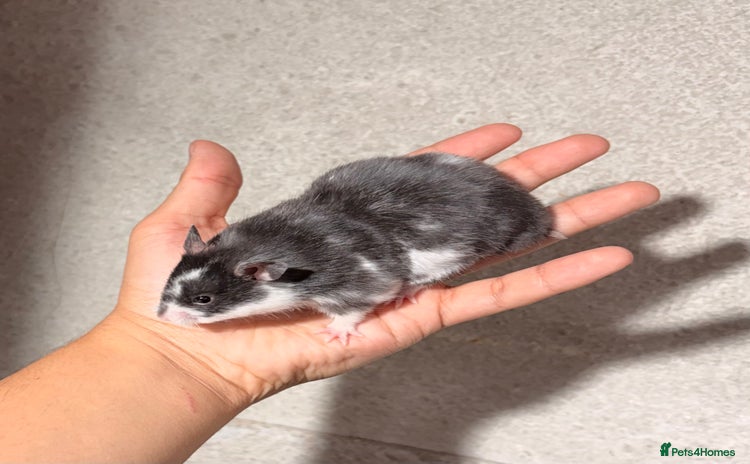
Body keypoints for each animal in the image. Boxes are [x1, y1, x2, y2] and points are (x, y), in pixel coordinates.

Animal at [157, 152, 555, 344]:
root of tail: (533, 213)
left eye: (203, 299)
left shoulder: (356, 283)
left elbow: (360, 303)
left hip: (446, 253)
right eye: (168, 284)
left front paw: (336, 332)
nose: (162, 319)